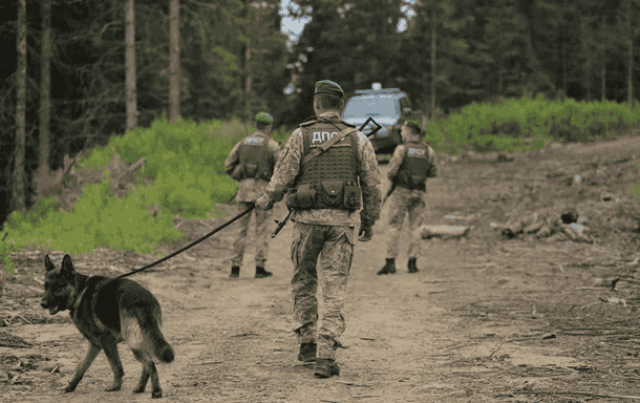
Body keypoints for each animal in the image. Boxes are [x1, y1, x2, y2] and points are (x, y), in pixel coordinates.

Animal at [41, 254, 175, 400]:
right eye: (45, 287)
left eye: (57, 287)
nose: (42, 304)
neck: (80, 292)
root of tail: (141, 298)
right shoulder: (94, 344)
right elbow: (81, 366)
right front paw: (70, 387)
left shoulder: (107, 342)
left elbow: (116, 366)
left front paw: (115, 386)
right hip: (141, 339)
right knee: (147, 364)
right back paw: (140, 387)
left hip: (133, 342)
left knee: (150, 363)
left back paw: (156, 391)